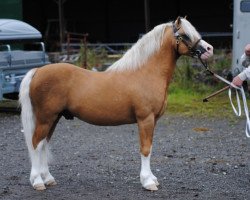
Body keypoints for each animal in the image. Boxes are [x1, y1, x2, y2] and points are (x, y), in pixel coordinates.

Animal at [18, 17, 213, 191]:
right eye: (185, 35)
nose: (209, 49)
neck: (146, 72)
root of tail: (38, 71)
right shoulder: (145, 119)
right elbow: (145, 149)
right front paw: (148, 182)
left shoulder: (153, 120)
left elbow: (150, 147)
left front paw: (152, 179)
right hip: (46, 118)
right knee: (36, 144)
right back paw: (38, 182)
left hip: (54, 117)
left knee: (43, 144)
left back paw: (48, 178)